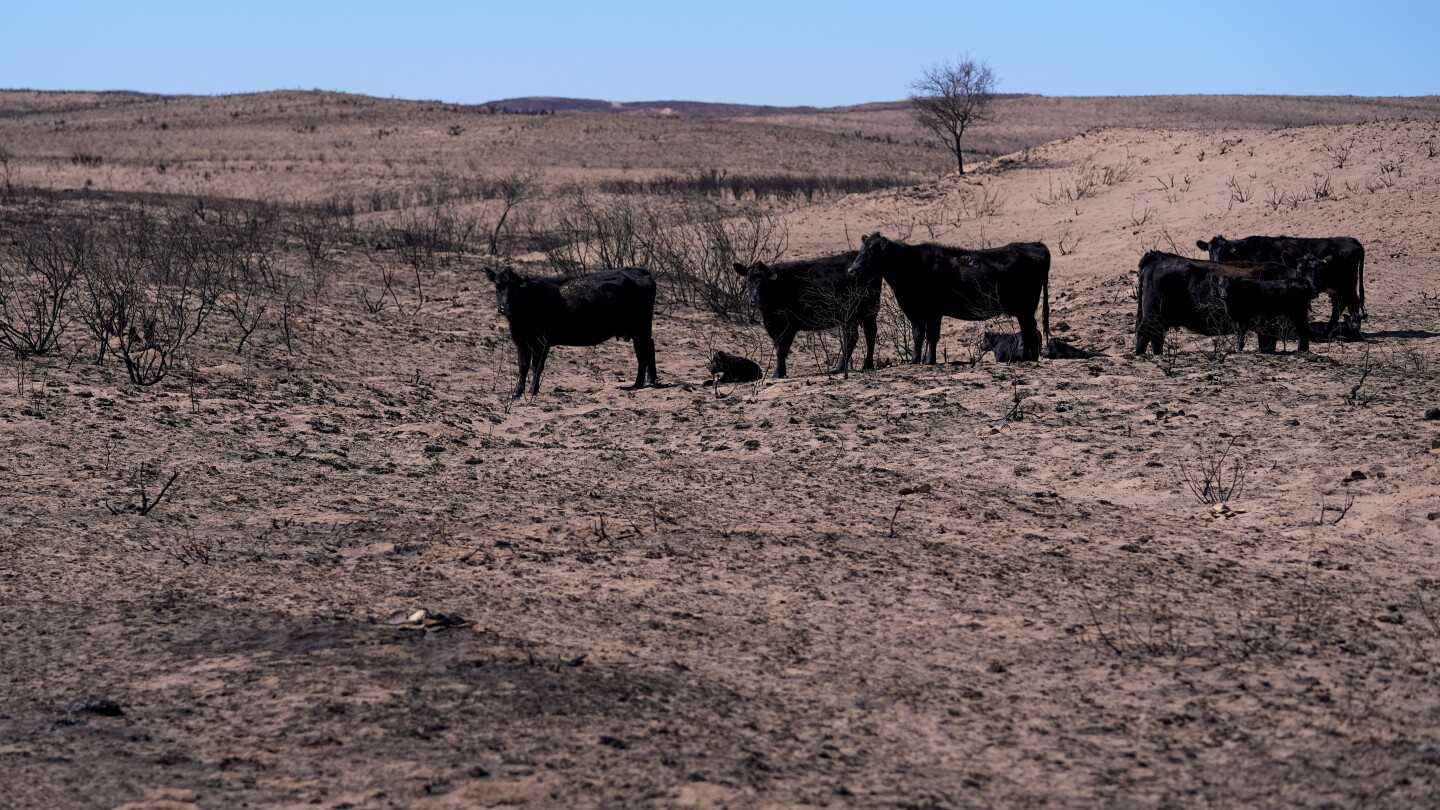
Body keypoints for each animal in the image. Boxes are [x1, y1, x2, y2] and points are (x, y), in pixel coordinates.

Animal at [489, 266, 659, 394]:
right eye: (497, 288)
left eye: (515, 289)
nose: (505, 307)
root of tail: (640, 271)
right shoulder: (521, 342)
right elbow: (522, 366)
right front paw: (517, 392)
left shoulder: (542, 342)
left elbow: (536, 366)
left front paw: (532, 391)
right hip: (639, 330)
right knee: (647, 348)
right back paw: (648, 380)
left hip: (641, 328)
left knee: (644, 351)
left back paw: (639, 383)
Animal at [731, 250, 875, 377]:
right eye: (748, 281)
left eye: (765, 282)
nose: (755, 300)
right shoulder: (772, 325)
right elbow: (778, 347)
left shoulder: (789, 326)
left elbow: (781, 350)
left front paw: (778, 373)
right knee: (862, 336)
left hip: (861, 312)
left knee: (858, 337)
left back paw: (848, 367)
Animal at [840, 232, 1048, 360]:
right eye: (861, 250)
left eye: (871, 251)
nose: (852, 269)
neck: (912, 266)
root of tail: (1035, 245)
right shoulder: (913, 310)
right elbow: (918, 335)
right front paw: (915, 360)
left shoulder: (934, 311)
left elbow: (932, 336)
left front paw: (928, 361)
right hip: (1023, 310)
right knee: (1029, 329)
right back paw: (1029, 358)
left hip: (1025, 308)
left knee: (1029, 329)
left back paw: (1027, 357)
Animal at [1128, 250, 1301, 354]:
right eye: (1300, 269)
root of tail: (1158, 256)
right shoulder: (1268, 328)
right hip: (1153, 313)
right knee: (1144, 333)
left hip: (1160, 318)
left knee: (1156, 336)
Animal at [1198, 232, 1365, 335]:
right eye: (1210, 250)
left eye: (1226, 251)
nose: (1216, 261)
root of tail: (1353, 241)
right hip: (1337, 288)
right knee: (1339, 306)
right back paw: (1328, 330)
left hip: (1347, 285)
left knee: (1352, 302)